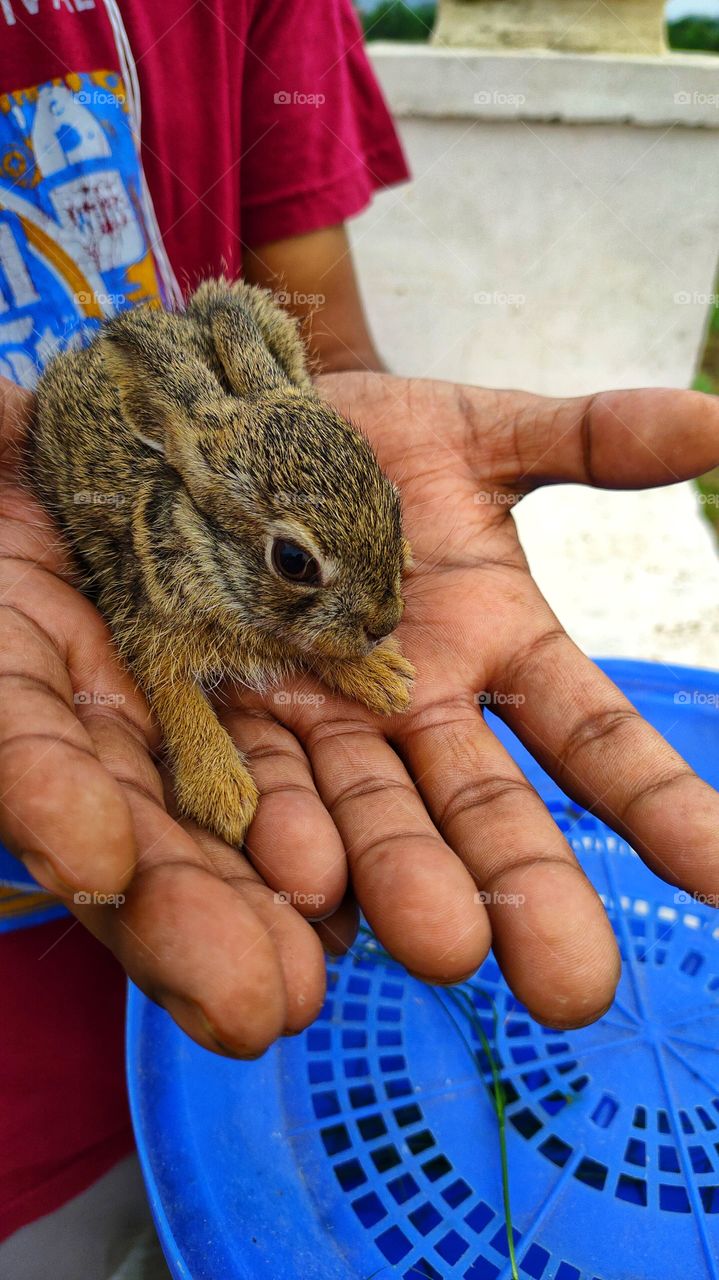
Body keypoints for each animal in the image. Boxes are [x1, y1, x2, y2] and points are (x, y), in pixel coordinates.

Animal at [29, 277, 414, 849]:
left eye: (393, 501)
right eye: (294, 561)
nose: (385, 623)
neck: (208, 556)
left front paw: (384, 676)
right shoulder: (146, 625)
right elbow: (176, 696)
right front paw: (224, 797)